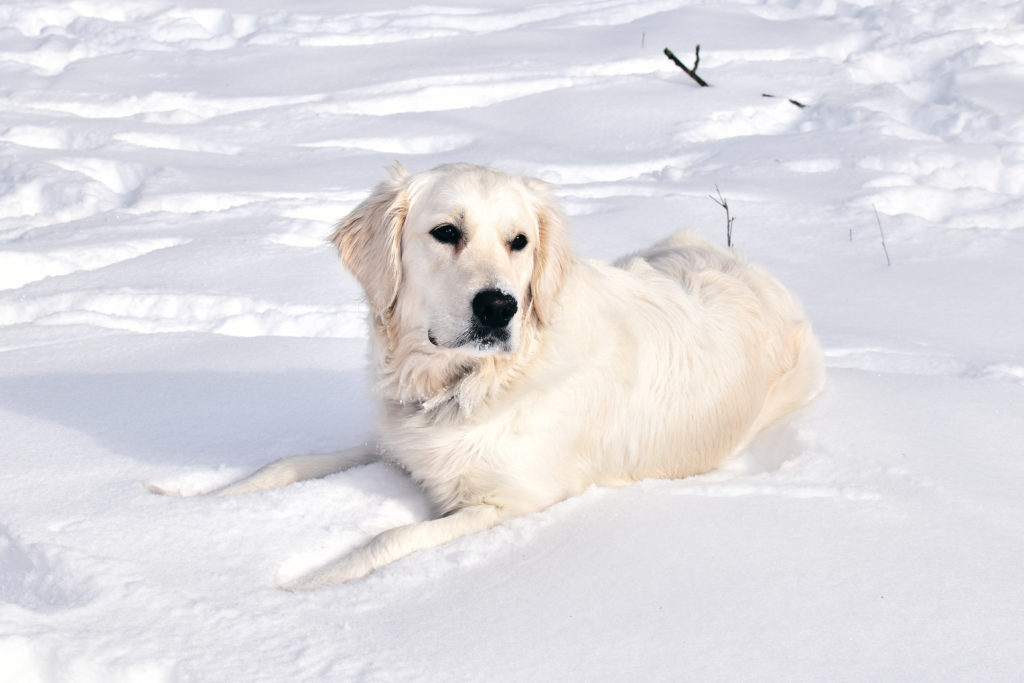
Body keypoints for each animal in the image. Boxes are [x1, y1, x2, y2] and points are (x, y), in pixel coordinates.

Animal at [190, 163, 823, 589]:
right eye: (446, 231)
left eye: (519, 241)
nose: (499, 307)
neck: (465, 383)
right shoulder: (398, 440)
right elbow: (285, 465)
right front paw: (192, 503)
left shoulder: (513, 500)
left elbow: (390, 537)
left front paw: (305, 585)